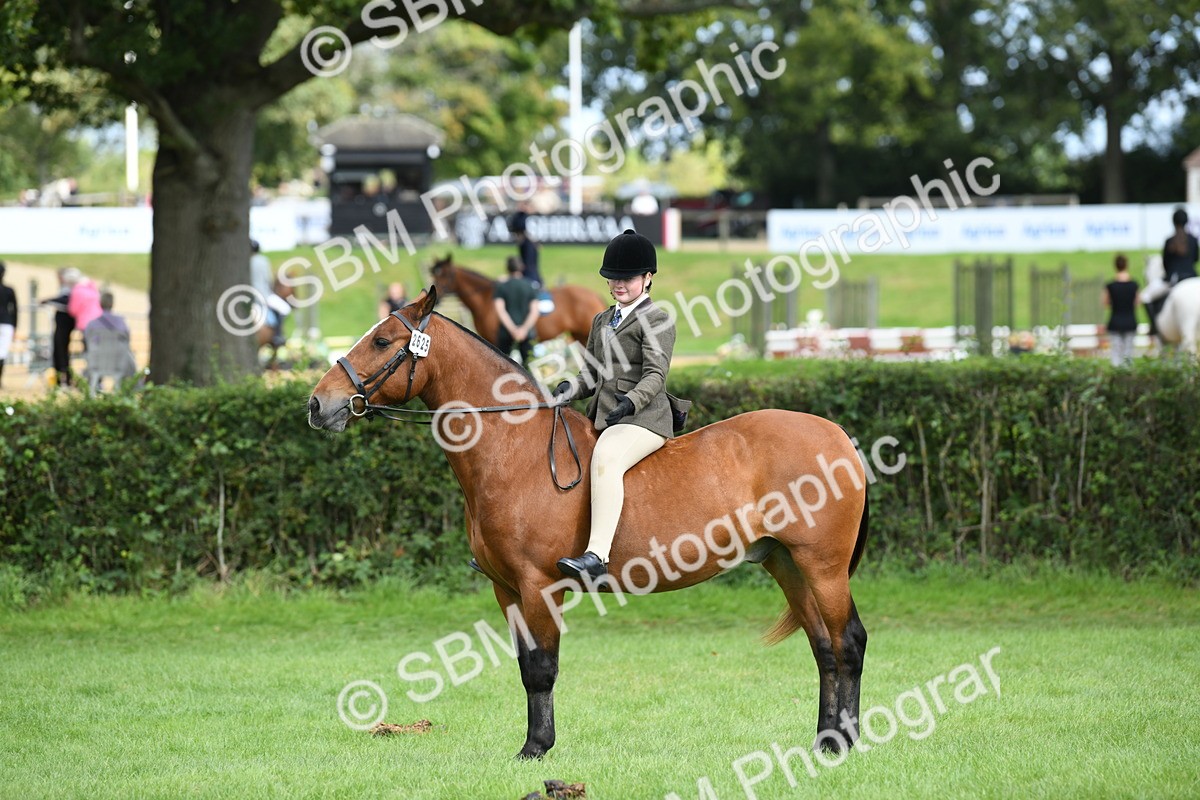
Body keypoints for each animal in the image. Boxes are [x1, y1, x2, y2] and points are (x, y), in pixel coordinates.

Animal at [307, 287, 870, 760]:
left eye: (382, 340)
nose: (318, 405)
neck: (515, 451)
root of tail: (838, 435)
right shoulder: (506, 590)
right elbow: (526, 670)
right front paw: (533, 744)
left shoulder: (538, 585)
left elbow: (542, 669)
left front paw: (536, 749)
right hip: (787, 564)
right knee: (823, 647)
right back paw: (825, 741)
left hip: (822, 566)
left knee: (848, 642)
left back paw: (845, 743)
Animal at [429, 255, 605, 345]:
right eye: (434, 274)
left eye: (445, 274)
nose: (436, 297)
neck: (486, 300)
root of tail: (594, 294)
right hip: (580, 336)